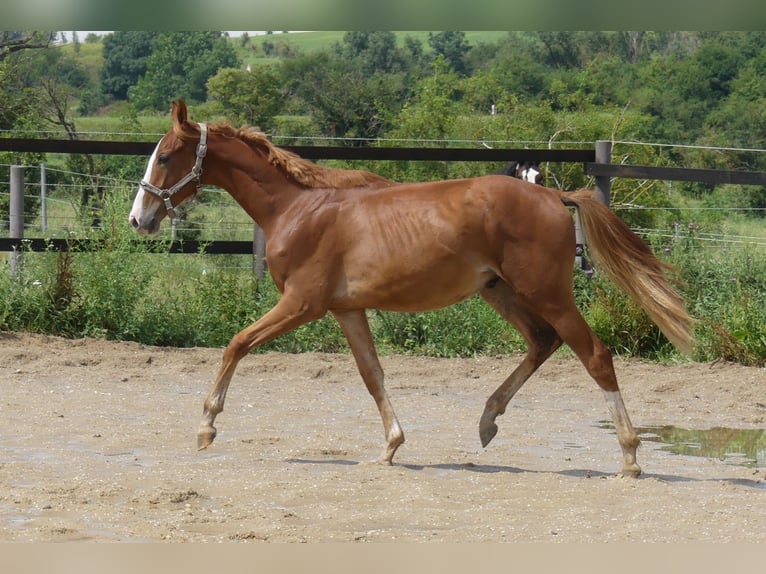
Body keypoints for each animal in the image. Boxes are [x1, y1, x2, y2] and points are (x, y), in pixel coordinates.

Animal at [130, 101, 696, 480]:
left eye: (166, 156)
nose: (139, 218)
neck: (299, 210)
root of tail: (555, 196)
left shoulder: (301, 304)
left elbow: (236, 344)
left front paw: (206, 427)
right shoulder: (346, 310)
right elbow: (372, 375)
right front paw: (390, 448)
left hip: (547, 293)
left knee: (594, 354)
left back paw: (629, 457)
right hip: (501, 291)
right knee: (542, 342)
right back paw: (488, 421)